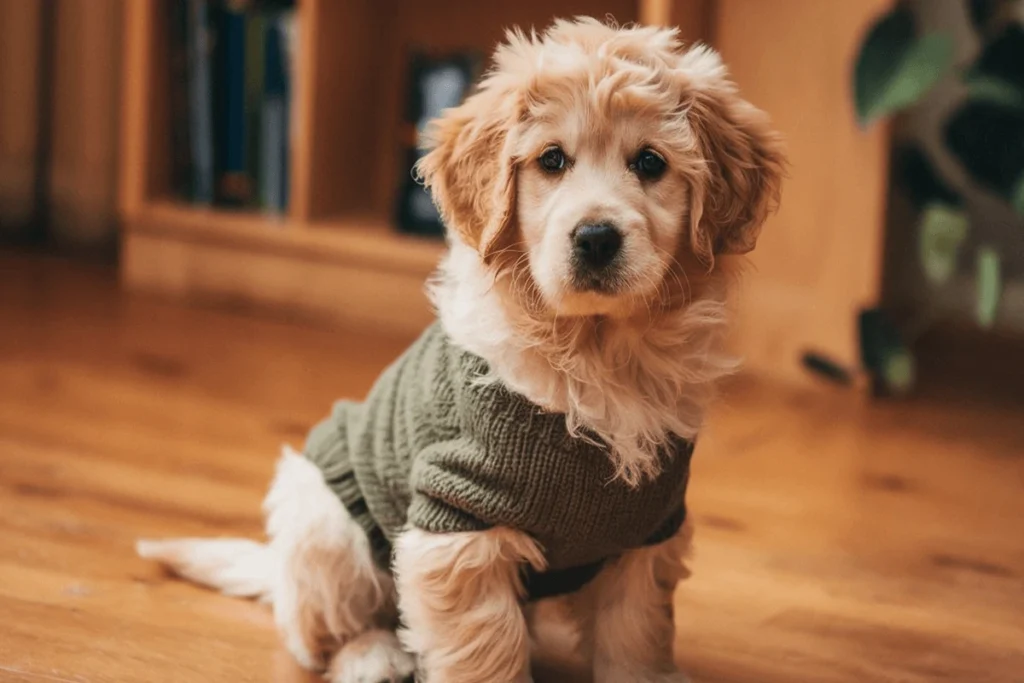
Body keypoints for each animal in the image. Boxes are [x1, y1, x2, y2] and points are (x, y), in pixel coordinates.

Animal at [138, 15, 782, 683]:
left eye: (651, 162)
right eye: (552, 160)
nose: (596, 237)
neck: (595, 351)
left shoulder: (648, 530)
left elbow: (635, 634)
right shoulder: (459, 513)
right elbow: (484, 647)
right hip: (326, 523)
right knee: (324, 633)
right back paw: (373, 655)